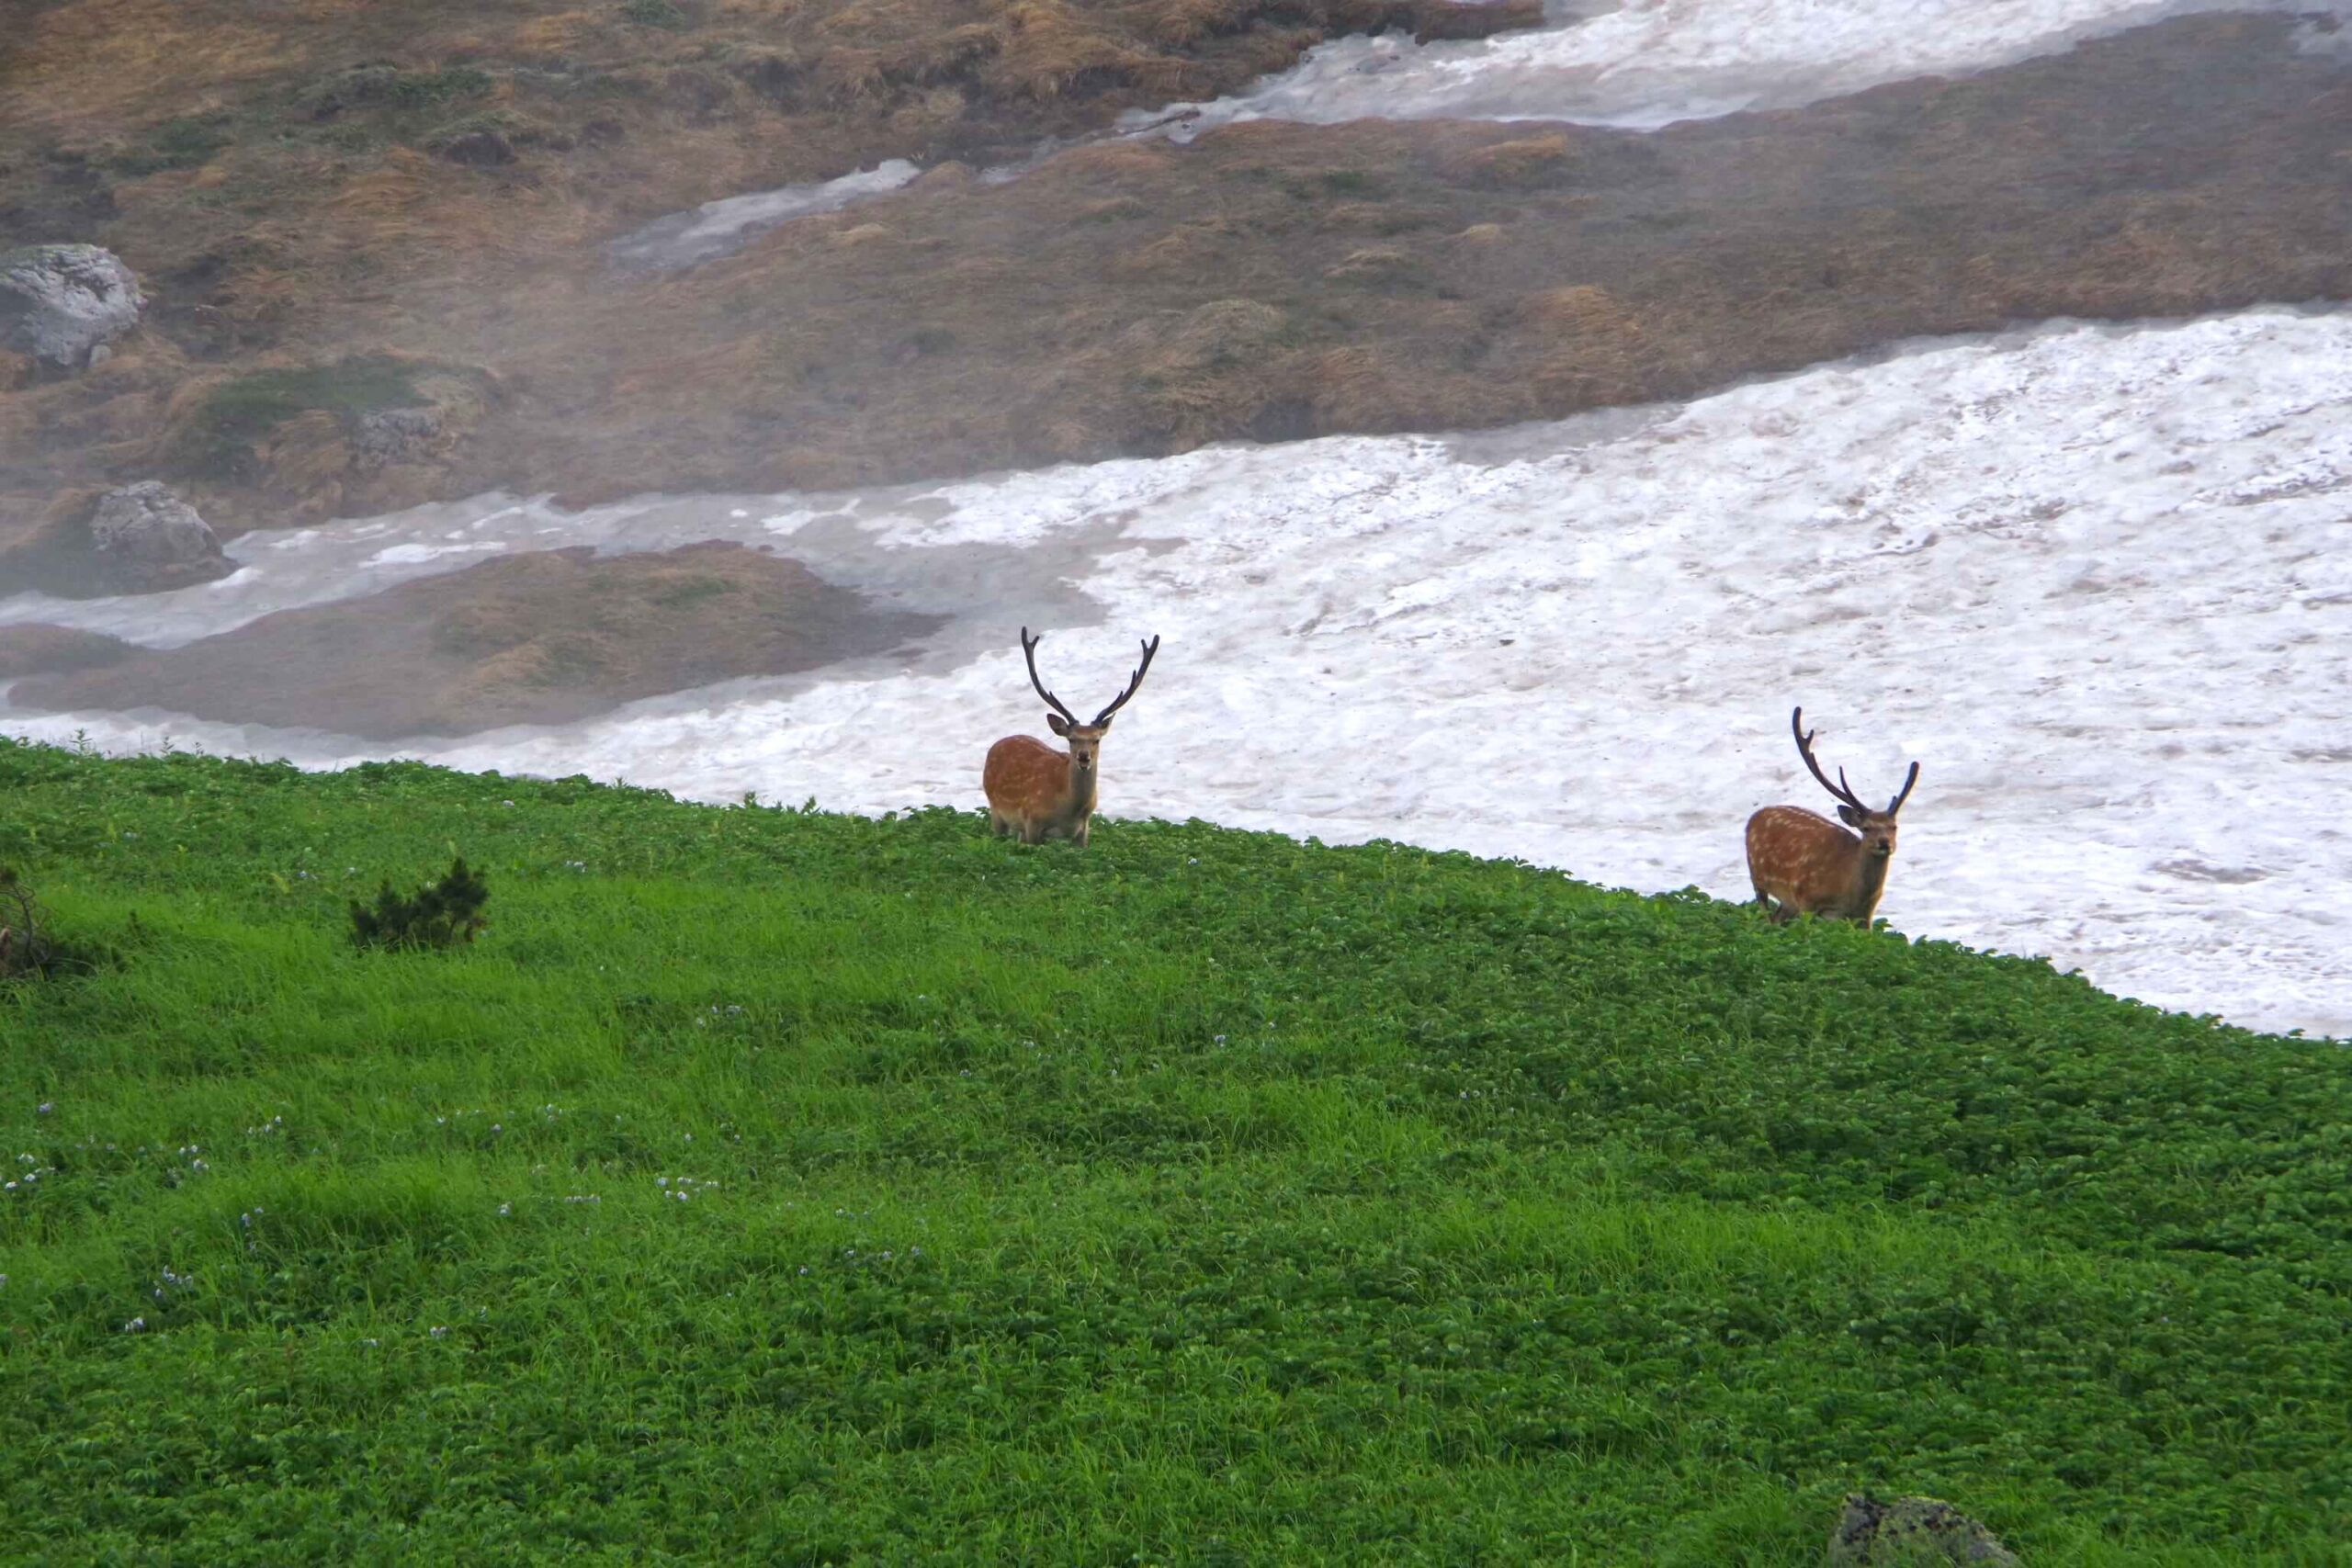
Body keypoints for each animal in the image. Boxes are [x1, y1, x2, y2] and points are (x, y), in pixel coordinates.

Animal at [983, 629, 1157, 851]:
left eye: (1096, 740)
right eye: (1071, 740)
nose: (1083, 757)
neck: (1069, 811)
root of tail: (997, 745)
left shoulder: (1083, 830)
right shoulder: (1032, 821)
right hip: (996, 811)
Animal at [1740, 709, 1918, 921]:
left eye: (1894, 827)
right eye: (1866, 828)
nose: (1884, 843)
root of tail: (1755, 816)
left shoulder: (1866, 915)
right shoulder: (1806, 900)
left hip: (1787, 903)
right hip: (1758, 879)